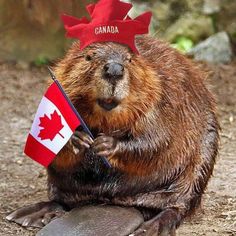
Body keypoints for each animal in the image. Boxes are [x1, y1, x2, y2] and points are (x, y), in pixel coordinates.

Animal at [6, 36, 219, 235]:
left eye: (130, 59)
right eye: (89, 57)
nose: (114, 70)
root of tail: (121, 203)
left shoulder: (164, 96)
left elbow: (157, 140)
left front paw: (107, 144)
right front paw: (79, 139)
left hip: (203, 156)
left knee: (177, 206)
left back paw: (150, 228)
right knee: (63, 200)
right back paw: (29, 214)